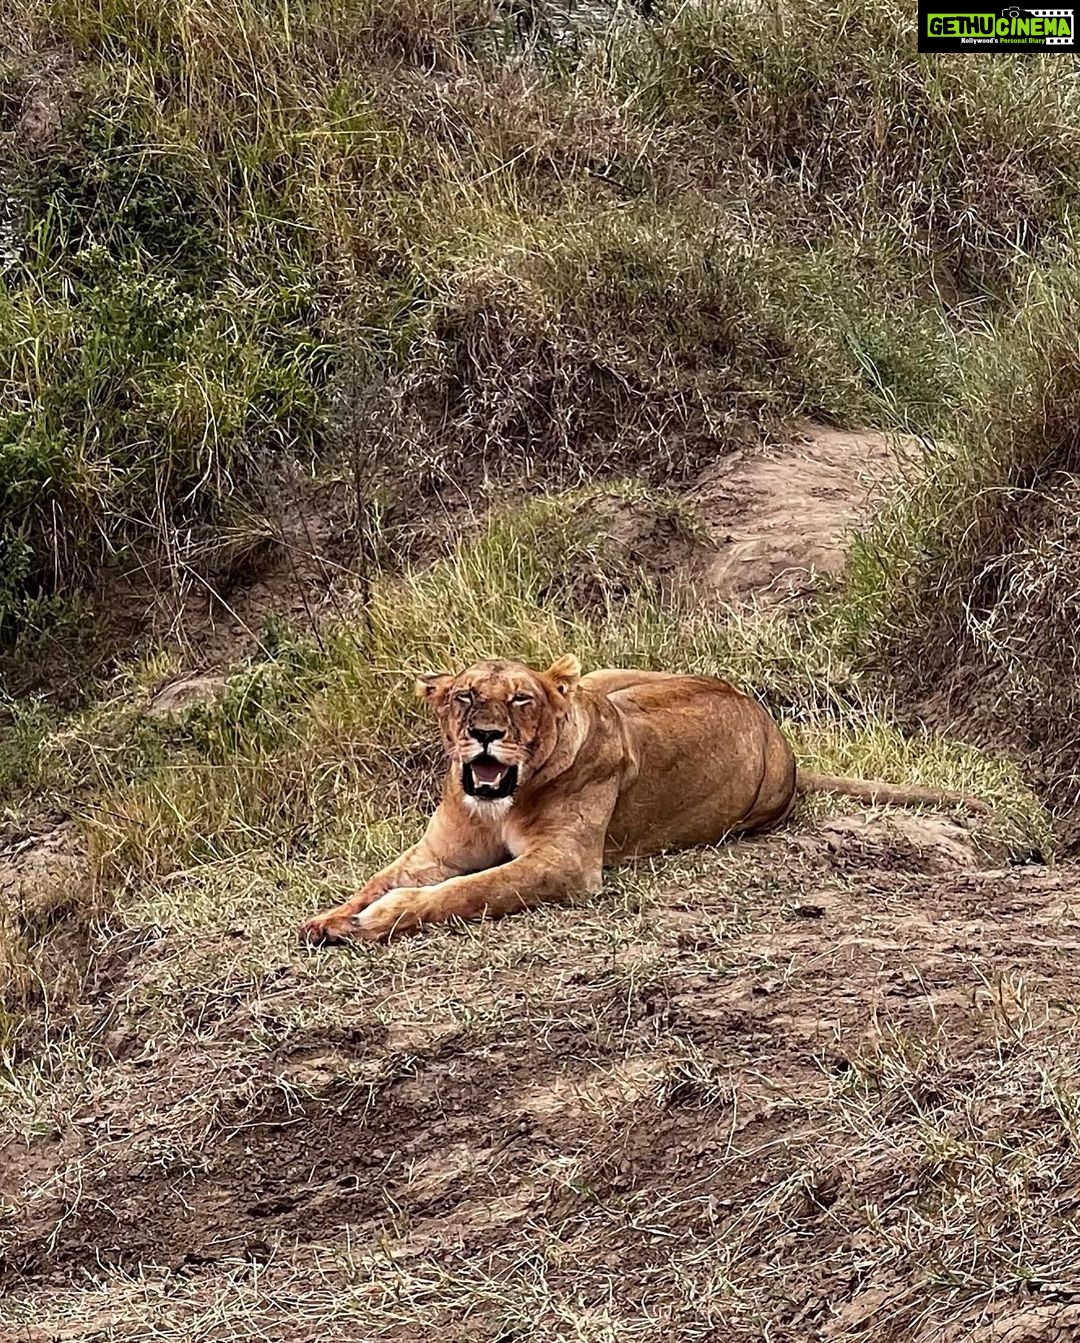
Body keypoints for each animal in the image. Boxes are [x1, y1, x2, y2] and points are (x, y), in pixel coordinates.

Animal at [299, 656, 987, 945]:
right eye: (464, 696)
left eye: (521, 699)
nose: (485, 734)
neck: (503, 801)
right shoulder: (437, 852)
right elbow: (381, 877)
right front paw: (330, 917)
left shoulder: (565, 865)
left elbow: (466, 891)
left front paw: (379, 919)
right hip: (608, 678)